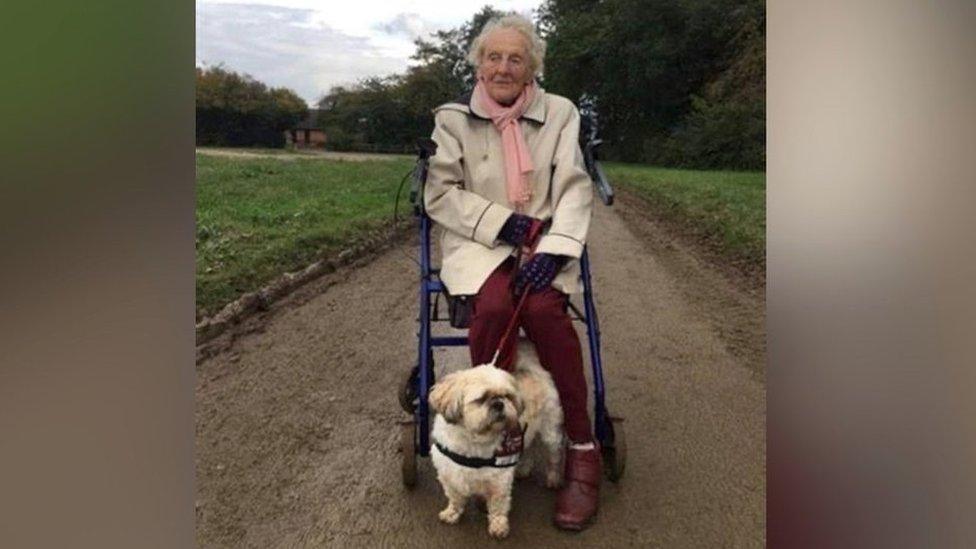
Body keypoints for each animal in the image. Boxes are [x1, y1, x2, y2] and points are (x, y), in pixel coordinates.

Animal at [428, 340, 564, 536]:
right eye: (481, 398)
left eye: (507, 396)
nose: (499, 403)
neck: (473, 442)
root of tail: (534, 370)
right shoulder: (449, 474)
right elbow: (455, 497)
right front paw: (452, 513)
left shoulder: (498, 481)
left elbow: (498, 505)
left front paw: (498, 525)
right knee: (528, 449)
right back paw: (524, 469)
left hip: (550, 431)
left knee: (554, 455)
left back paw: (553, 478)